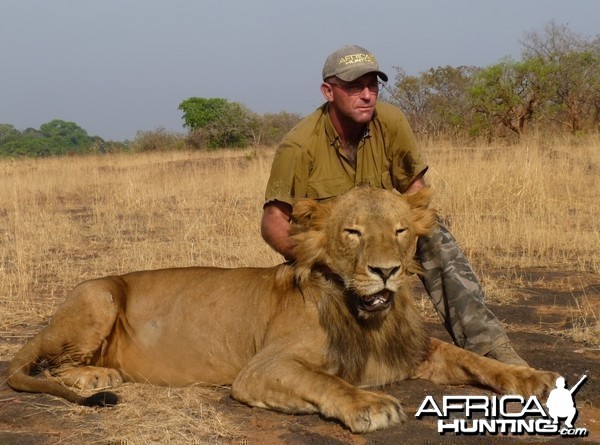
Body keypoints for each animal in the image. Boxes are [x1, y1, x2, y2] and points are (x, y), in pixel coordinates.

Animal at [5, 186, 556, 432]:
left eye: (400, 231)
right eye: (353, 232)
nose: (386, 271)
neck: (367, 316)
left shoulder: (413, 350)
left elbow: (473, 359)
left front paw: (533, 378)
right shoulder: (259, 370)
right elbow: (328, 382)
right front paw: (372, 405)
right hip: (98, 296)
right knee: (48, 363)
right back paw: (96, 377)